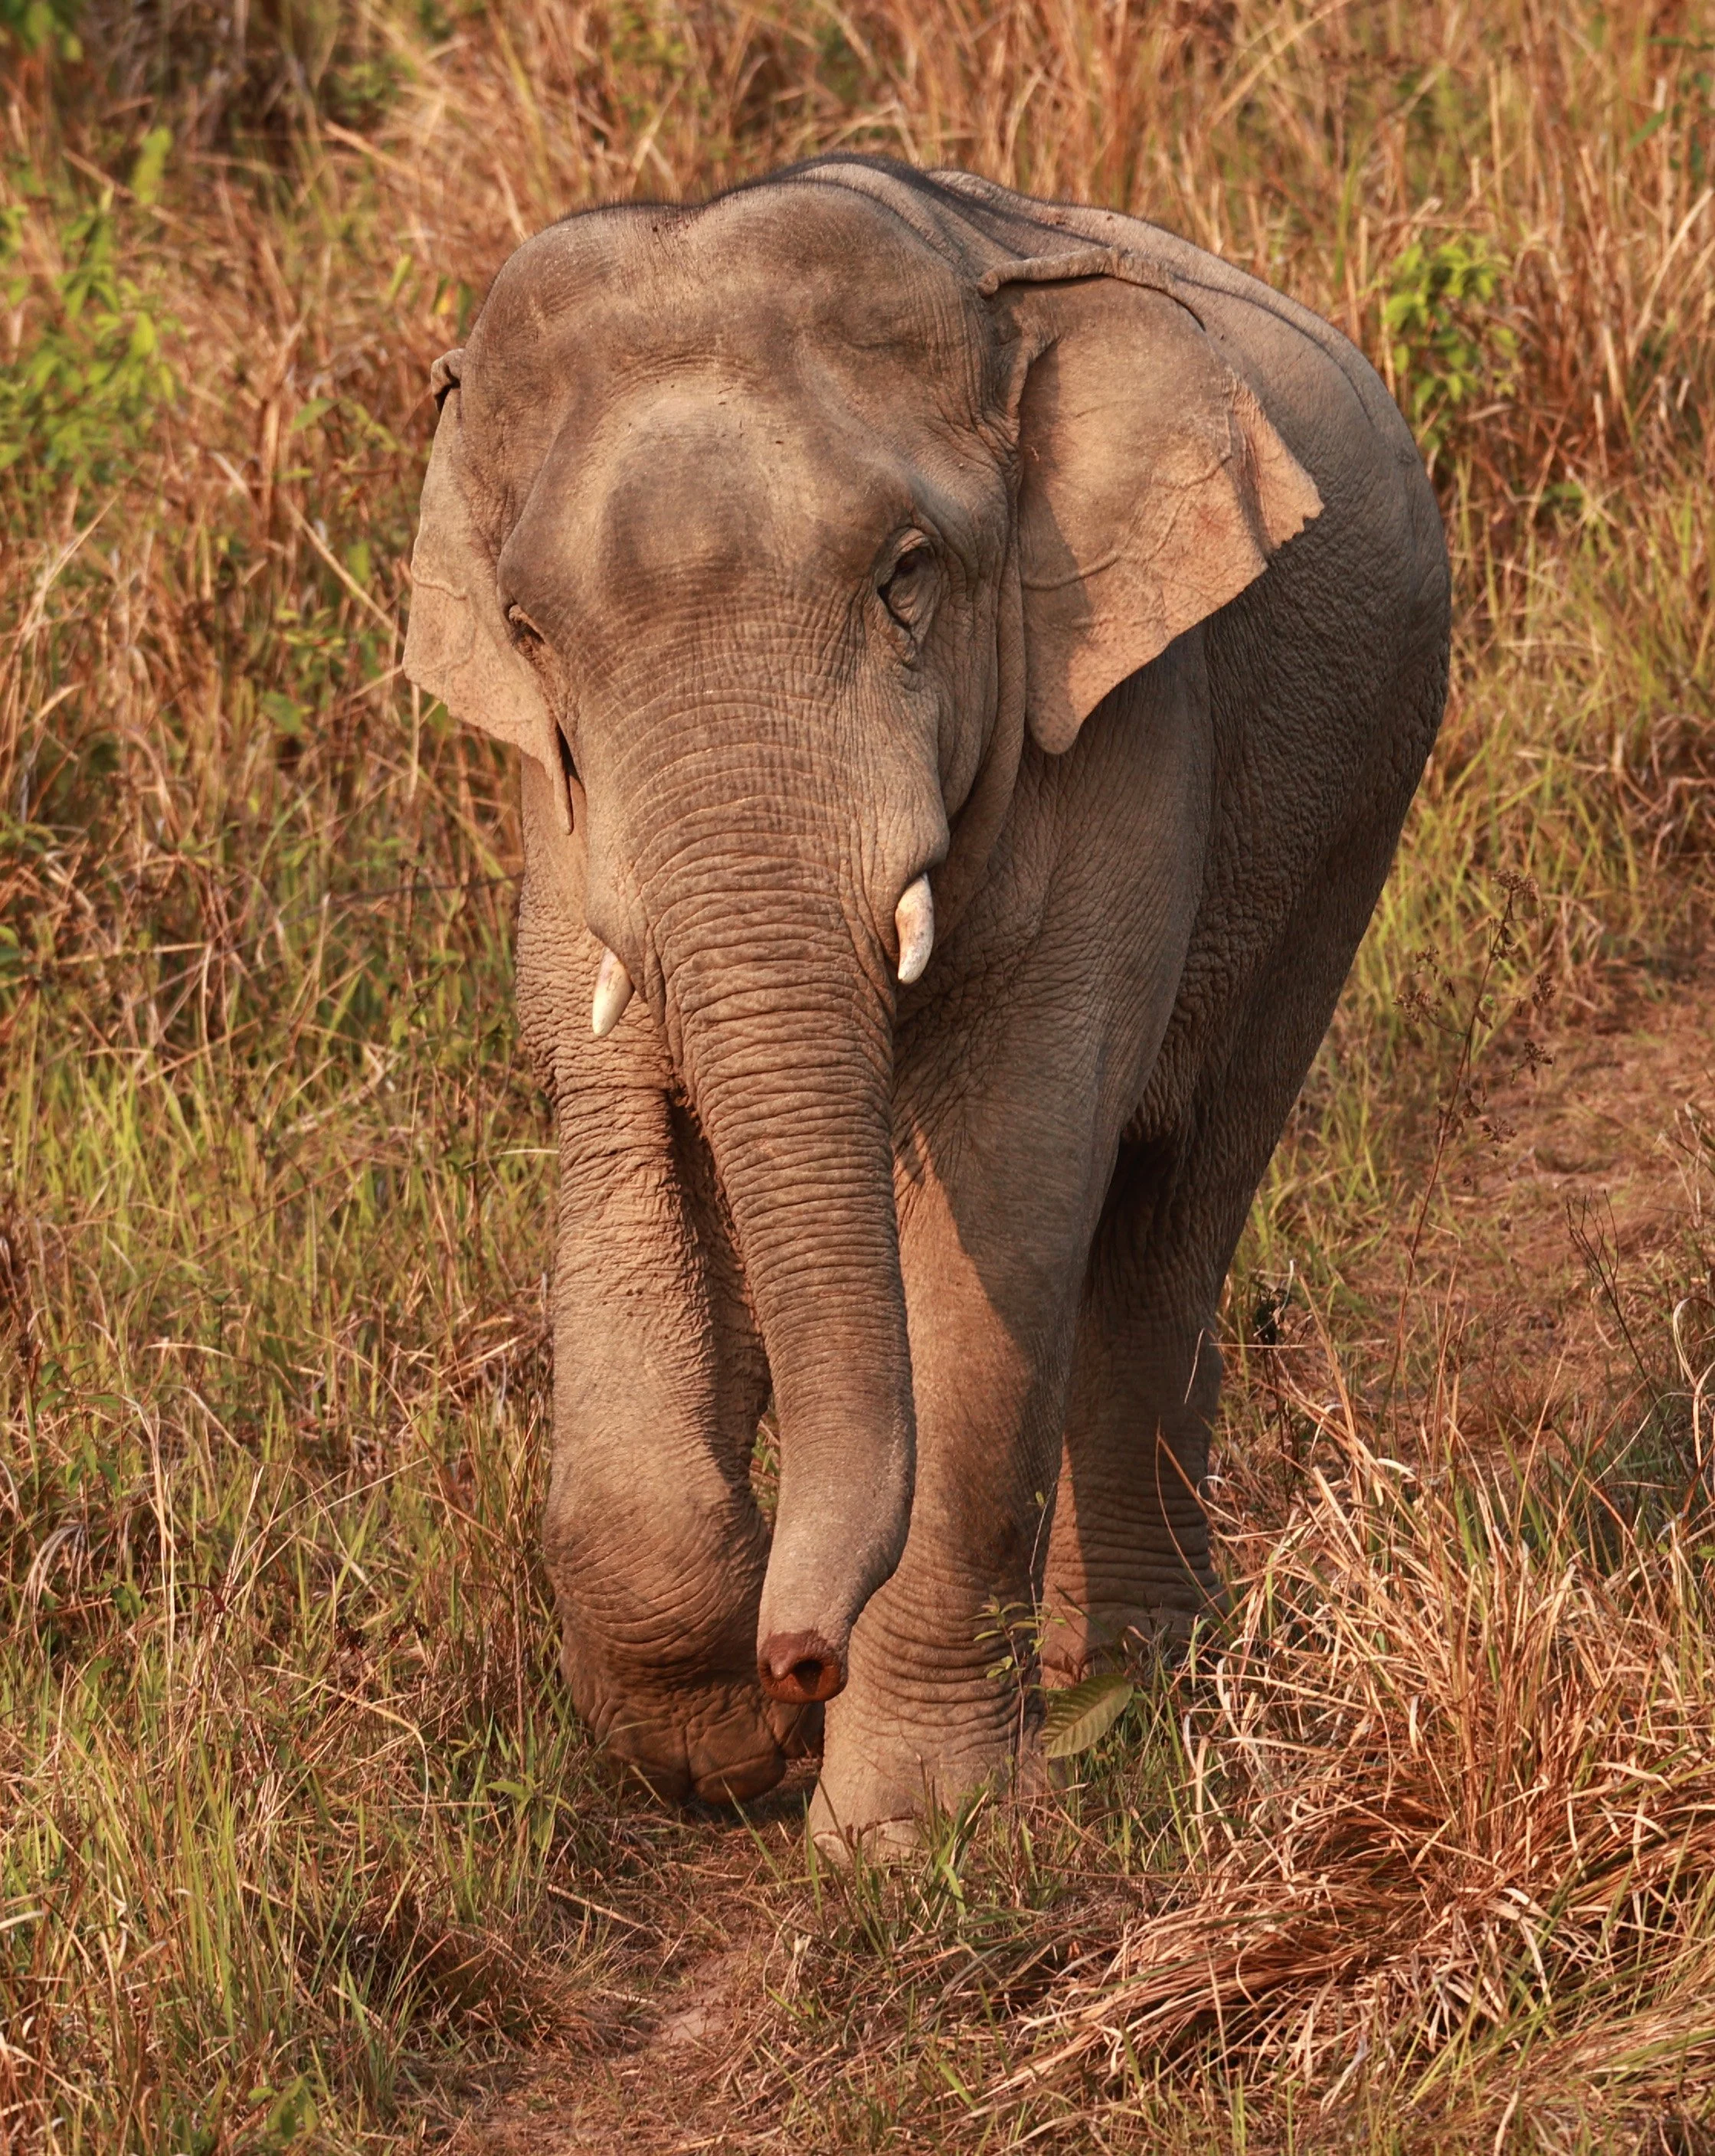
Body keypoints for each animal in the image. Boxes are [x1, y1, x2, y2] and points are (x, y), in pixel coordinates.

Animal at [403, 156, 1449, 1848]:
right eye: (531, 636)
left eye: (906, 580)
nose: (799, 1660)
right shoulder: (557, 816)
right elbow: (622, 1125)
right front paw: (720, 1750)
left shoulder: (1115, 707)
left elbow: (1009, 1172)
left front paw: (909, 1837)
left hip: (1354, 809)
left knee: (1171, 1210)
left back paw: (1123, 1685)